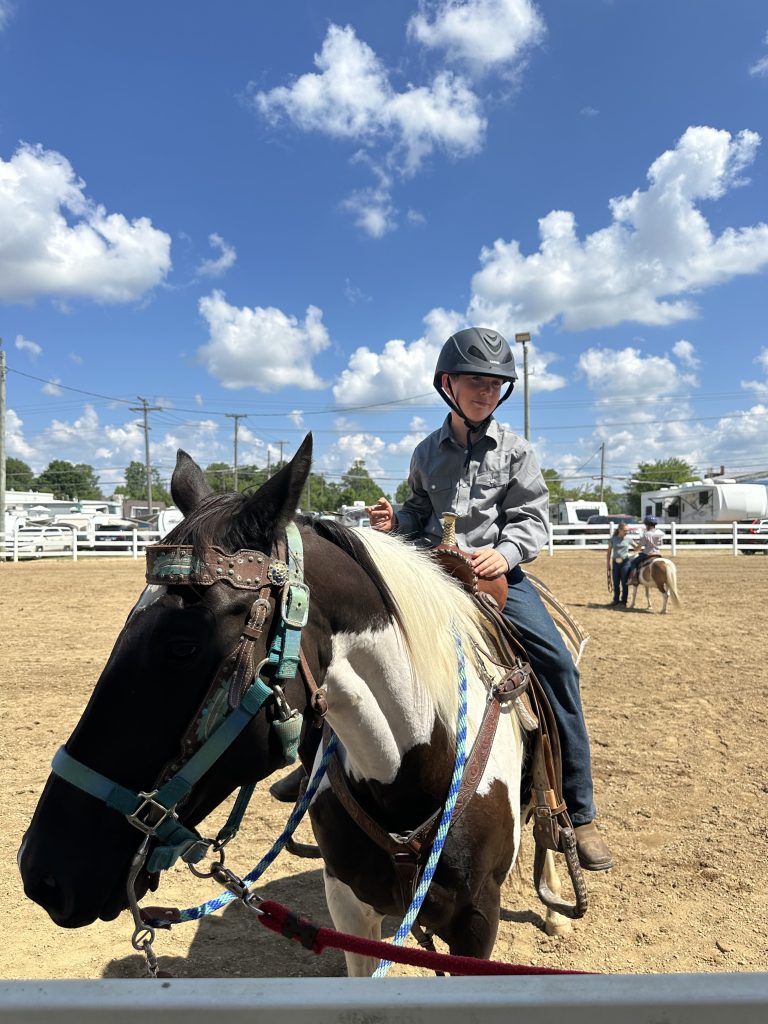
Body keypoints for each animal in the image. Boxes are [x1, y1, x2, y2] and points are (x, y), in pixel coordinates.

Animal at [18, 435, 576, 977]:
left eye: (182, 645)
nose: (40, 871)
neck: (417, 769)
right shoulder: (349, 905)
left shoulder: (475, 924)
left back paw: (556, 907)